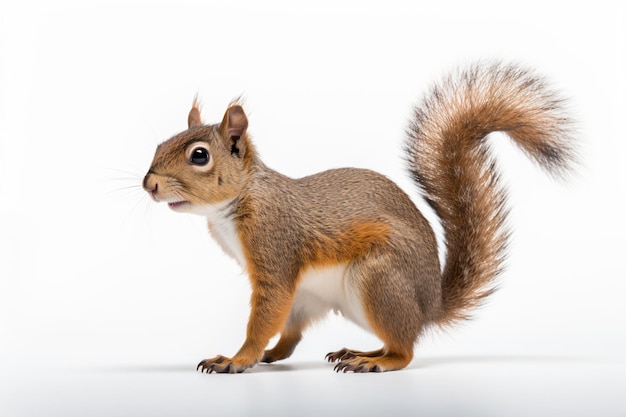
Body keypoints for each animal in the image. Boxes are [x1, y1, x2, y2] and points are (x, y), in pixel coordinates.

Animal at [141, 62, 576, 374]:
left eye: (199, 155)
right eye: (160, 145)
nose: (149, 184)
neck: (241, 199)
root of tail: (428, 306)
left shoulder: (275, 248)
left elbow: (265, 312)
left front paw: (237, 358)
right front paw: (249, 355)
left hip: (379, 280)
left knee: (404, 349)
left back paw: (373, 361)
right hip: (313, 297)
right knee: (300, 338)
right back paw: (326, 351)